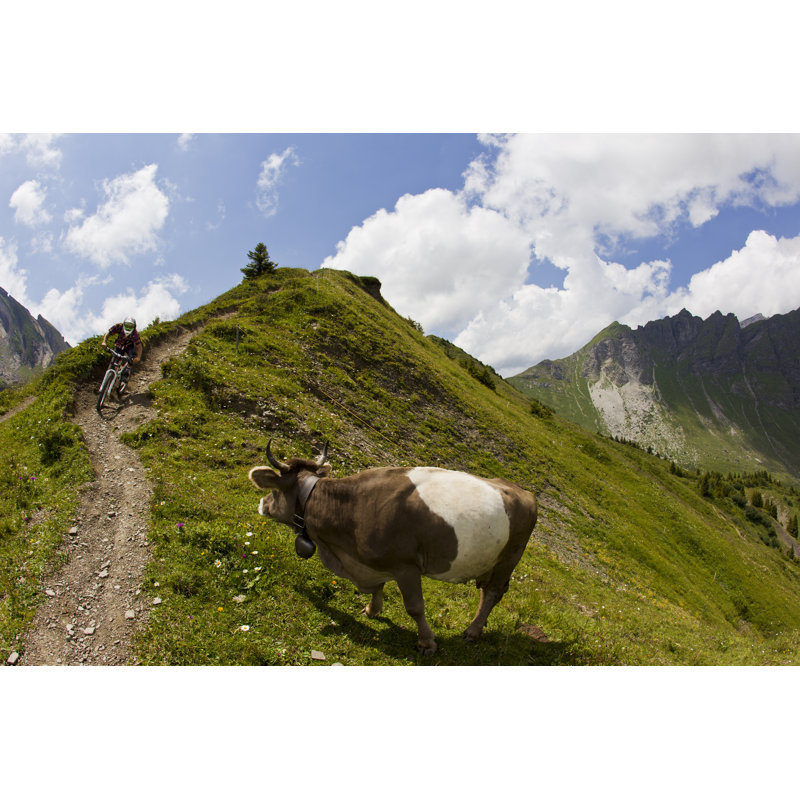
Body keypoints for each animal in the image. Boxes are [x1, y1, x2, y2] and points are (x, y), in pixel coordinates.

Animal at [248, 442, 538, 655]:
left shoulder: (405, 567)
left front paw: (427, 642)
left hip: (510, 557)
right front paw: (372, 610)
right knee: (486, 591)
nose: (262, 504)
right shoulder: (372, 562)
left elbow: (415, 607)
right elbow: (377, 587)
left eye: (275, 490)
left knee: (492, 593)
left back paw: (472, 631)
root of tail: (522, 491)